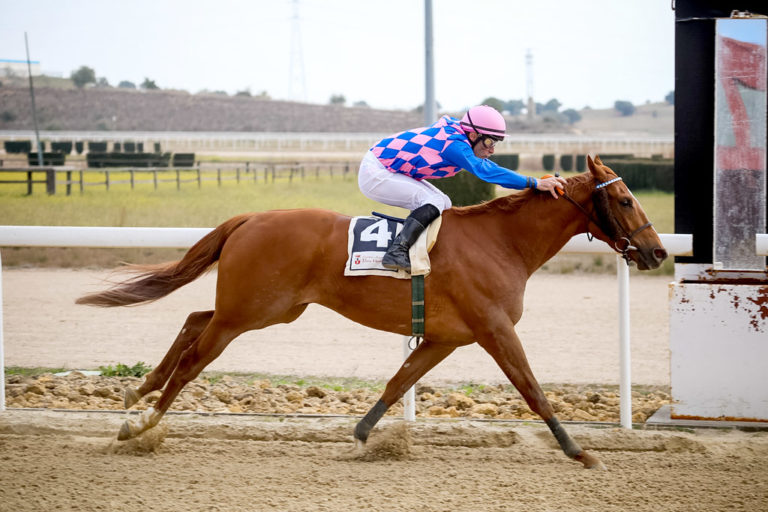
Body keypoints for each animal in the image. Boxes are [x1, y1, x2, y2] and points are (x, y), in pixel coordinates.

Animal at [76, 155, 664, 468]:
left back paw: (138, 390)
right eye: (626, 199)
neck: (501, 242)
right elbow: (533, 390)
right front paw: (579, 451)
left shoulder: (447, 337)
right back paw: (141, 422)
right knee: (196, 356)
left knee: (194, 320)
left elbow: (398, 381)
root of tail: (250, 218)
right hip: (250, 311)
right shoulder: (494, 328)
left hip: (266, 308)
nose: (657, 252)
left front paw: (362, 434)